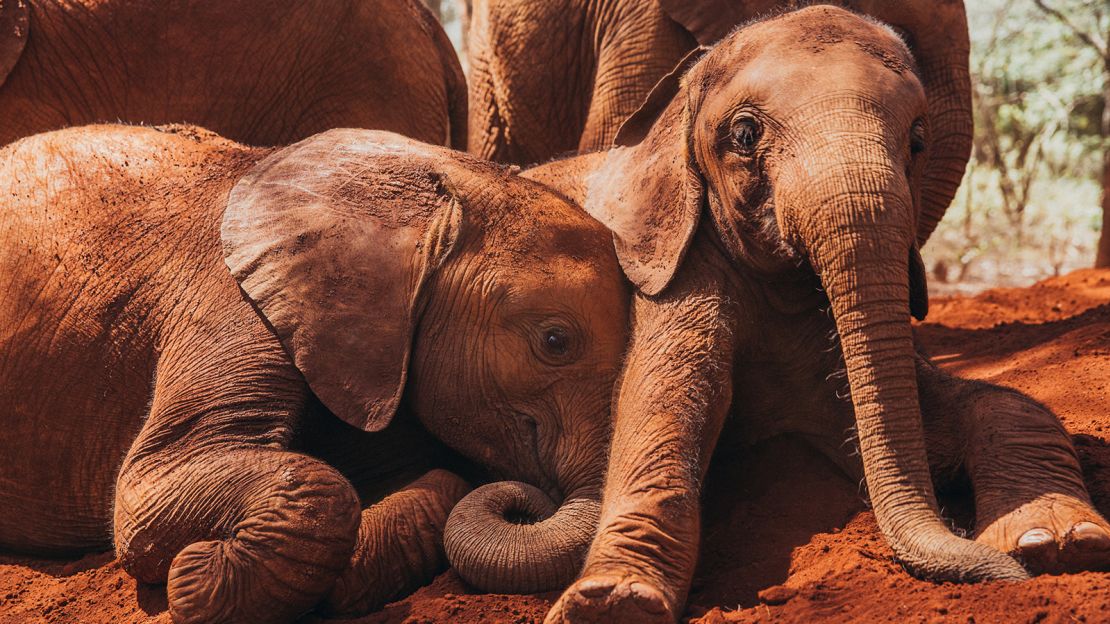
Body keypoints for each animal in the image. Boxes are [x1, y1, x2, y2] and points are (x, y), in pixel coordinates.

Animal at [0, 124, 630, 621]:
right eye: (555, 341)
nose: (528, 503)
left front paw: (349, 574)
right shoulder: (233, 303)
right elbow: (149, 493)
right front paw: (194, 574)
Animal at [523, 7, 1110, 617]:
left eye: (918, 140)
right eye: (744, 135)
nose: (1007, 577)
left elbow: (1000, 404)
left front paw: (1056, 543)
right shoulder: (676, 264)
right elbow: (659, 412)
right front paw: (611, 603)